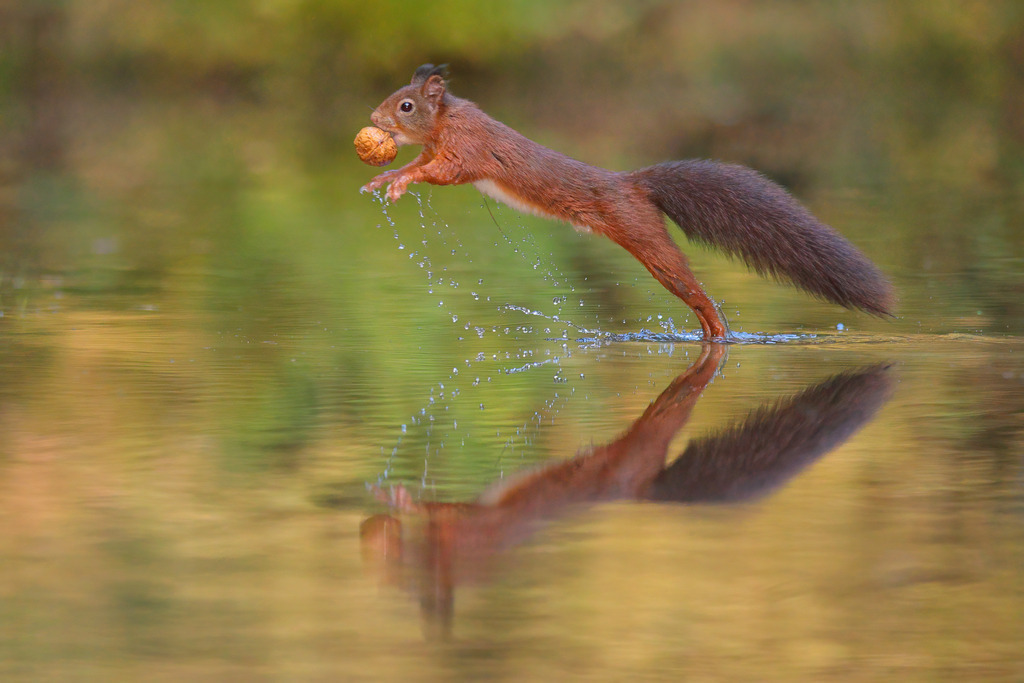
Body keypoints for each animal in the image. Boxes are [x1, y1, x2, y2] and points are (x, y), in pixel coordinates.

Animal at [361, 64, 895, 339]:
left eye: (406, 105)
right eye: (393, 96)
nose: (373, 118)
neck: (446, 121)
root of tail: (634, 184)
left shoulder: (467, 151)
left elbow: (442, 172)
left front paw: (400, 182)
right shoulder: (438, 147)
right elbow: (419, 164)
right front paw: (385, 176)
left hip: (644, 236)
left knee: (695, 291)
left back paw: (717, 331)